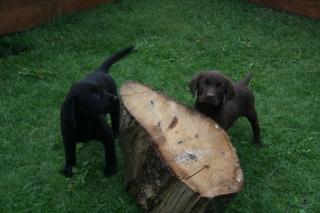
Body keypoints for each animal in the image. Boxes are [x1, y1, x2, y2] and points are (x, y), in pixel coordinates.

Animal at [60, 46, 134, 176]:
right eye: (95, 96)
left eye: (102, 90)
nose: (116, 98)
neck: (84, 121)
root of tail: (100, 70)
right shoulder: (67, 138)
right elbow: (69, 154)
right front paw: (69, 169)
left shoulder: (107, 135)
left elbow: (110, 153)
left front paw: (111, 169)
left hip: (115, 109)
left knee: (115, 121)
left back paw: (116, 133)